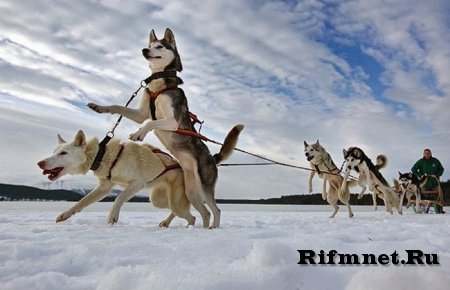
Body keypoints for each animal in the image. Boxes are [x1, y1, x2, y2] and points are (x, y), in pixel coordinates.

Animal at [37, 130, 195, 228]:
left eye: (63, 153)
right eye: (54, 152)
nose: (40, 163)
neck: (103, 155)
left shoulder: (137, 184)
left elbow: (119, 198)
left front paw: (112, 217)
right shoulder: (104, 188)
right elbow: (81, 202)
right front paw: (65, 214)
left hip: (173, 201)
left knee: (190, 216)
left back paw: (189, 227)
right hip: (158, 200)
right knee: (176, 211)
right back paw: (166, 223)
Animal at [86, 29, 244, 229]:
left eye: (160, 46)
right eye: (150, 45)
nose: (144, 50)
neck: (159, 85)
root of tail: (212, 158)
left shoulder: (171, 121)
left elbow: (150, 123)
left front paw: (139, 134)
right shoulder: (141, 113)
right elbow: (118, 107)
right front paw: (99, 107)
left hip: (204, 186)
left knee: (216, 210)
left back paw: (213, 229)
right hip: (191, 191)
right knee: (205, 213)